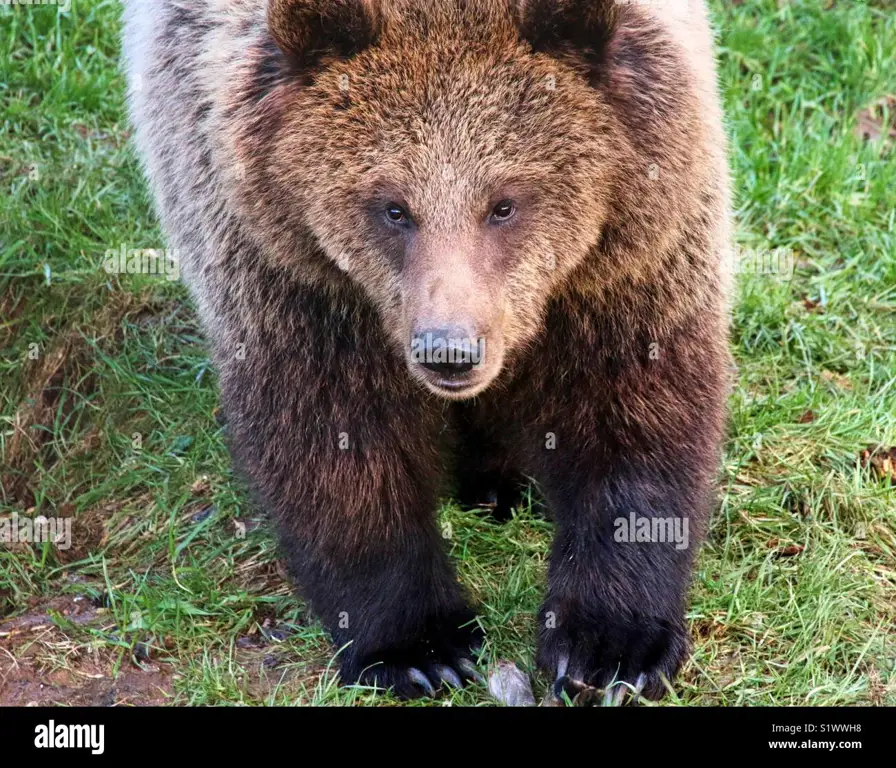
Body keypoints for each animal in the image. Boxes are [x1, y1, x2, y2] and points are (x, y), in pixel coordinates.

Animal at [122, 0, 732, 704]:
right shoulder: (286, 268)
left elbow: (634, 414)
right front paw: (420, 646)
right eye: (393, 208)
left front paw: (610, 647)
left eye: (504, 203)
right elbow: (335, 440)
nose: (450, 350)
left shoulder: (631, 248)